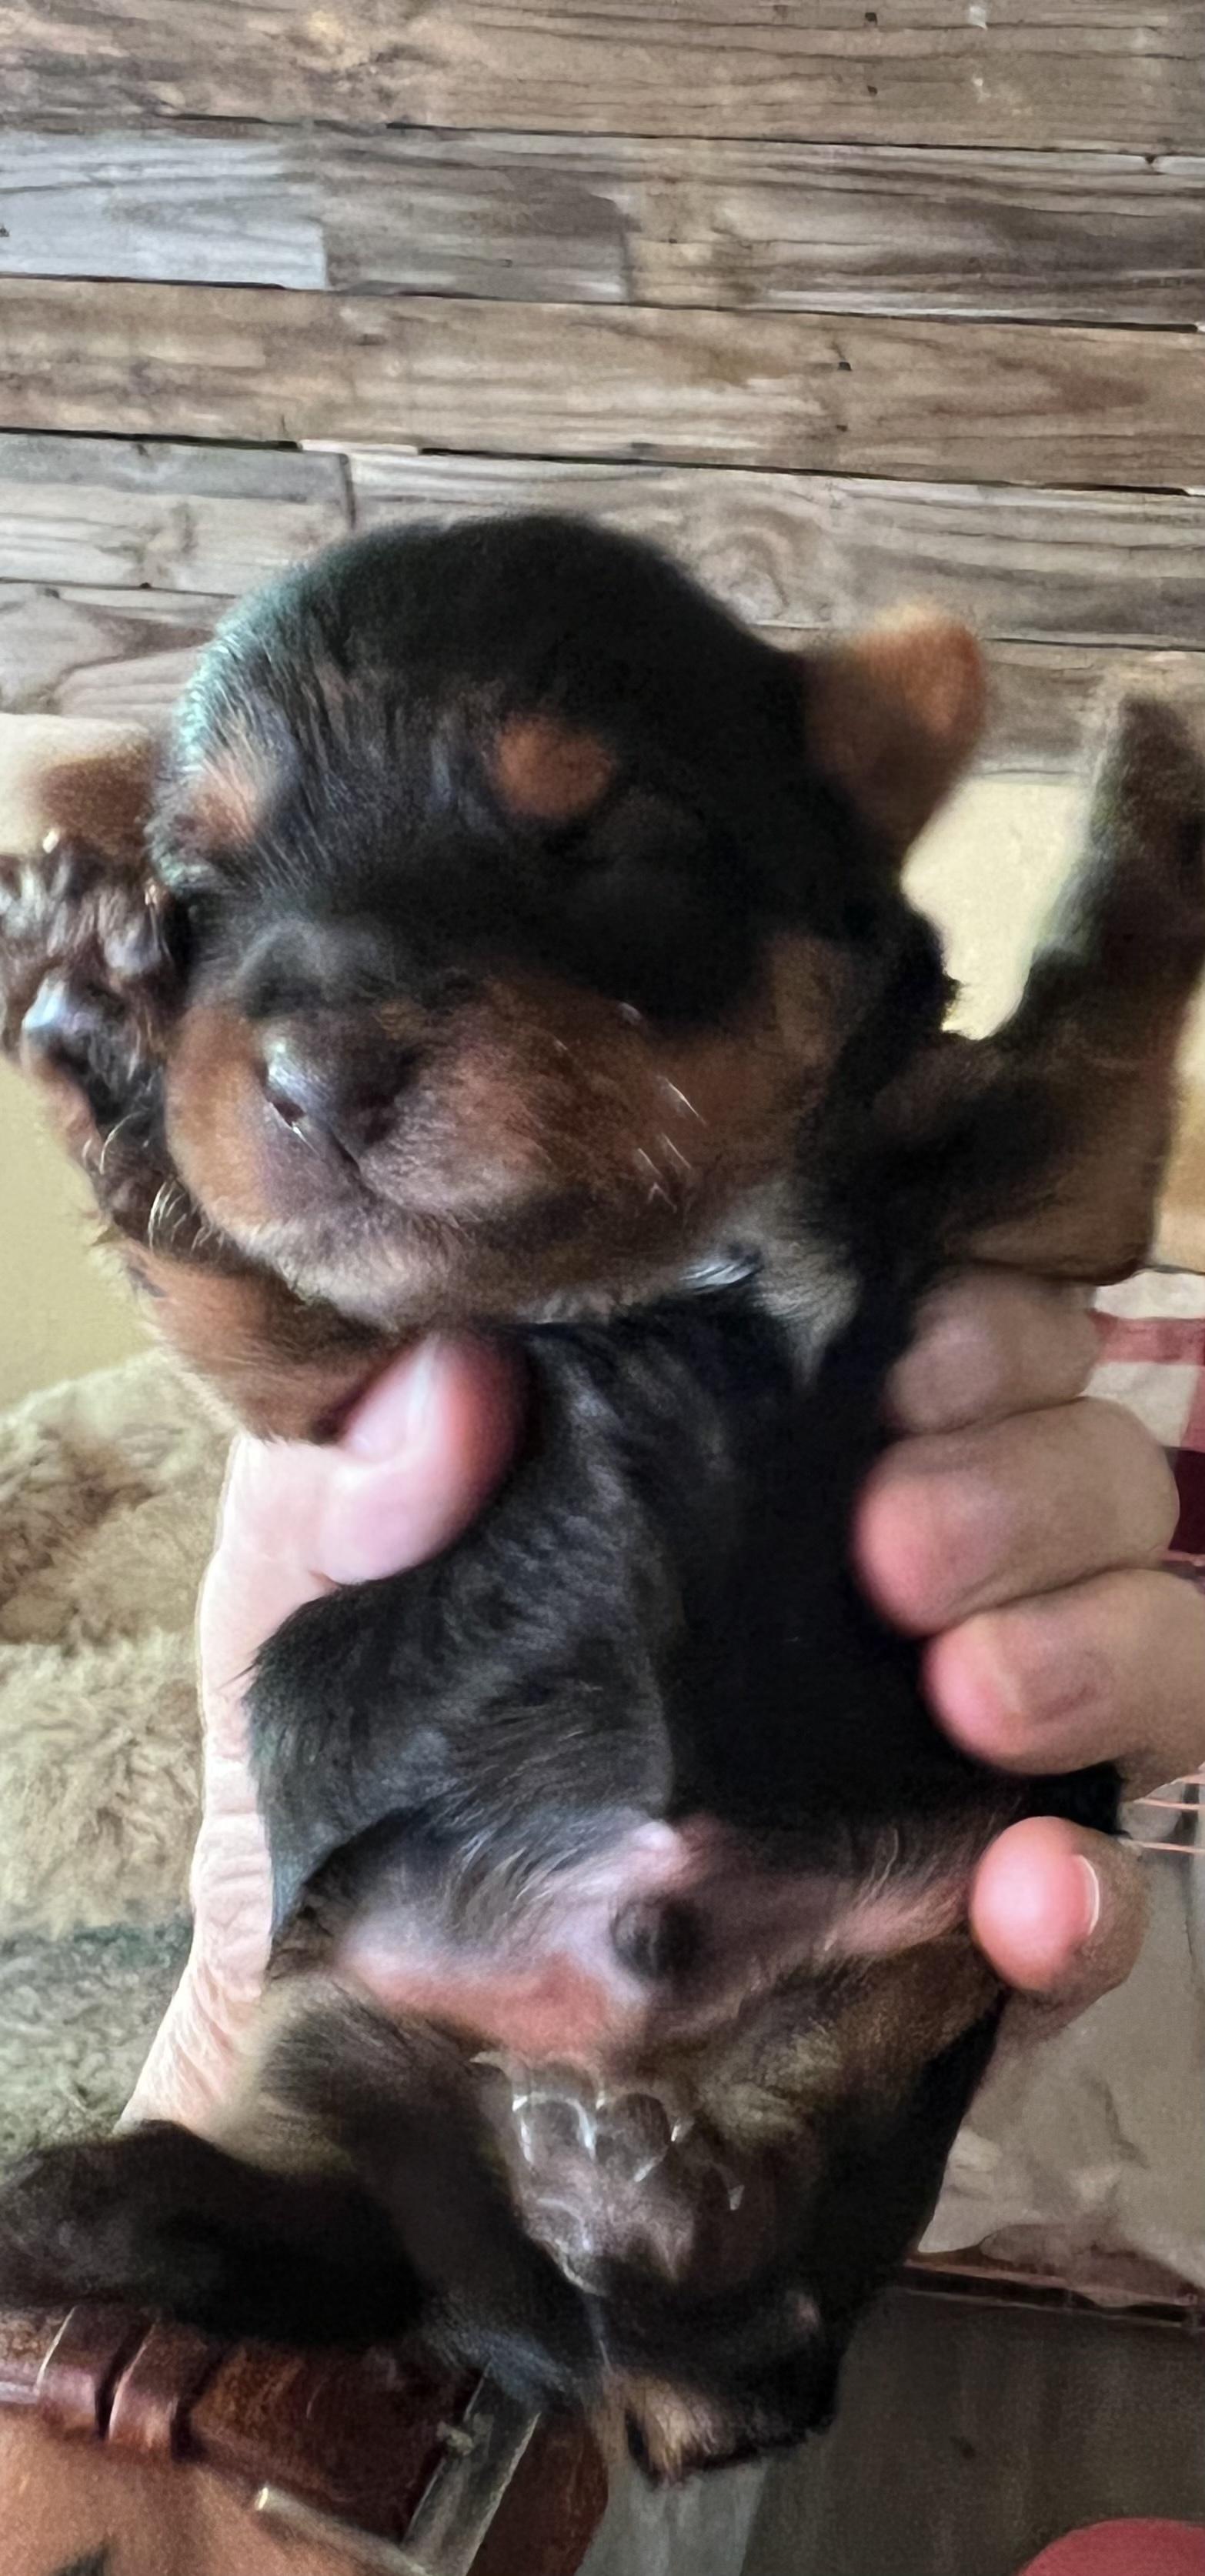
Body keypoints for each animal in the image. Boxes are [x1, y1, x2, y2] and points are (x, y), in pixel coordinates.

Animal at [1, 516, 1203, 2480]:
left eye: (606, 840)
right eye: (196, 888)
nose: (322, 1075)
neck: (618, 1279)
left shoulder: (1024, 1198)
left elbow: (1091, 1048)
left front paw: (1152, 761)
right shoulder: (344, 1387)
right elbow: (235, 1279)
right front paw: (94, 1015)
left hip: (937, 1931)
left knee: (734, 2261)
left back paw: (643, 2204)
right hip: (349, 2030)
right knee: (337, 2242)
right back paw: (74, 2201)